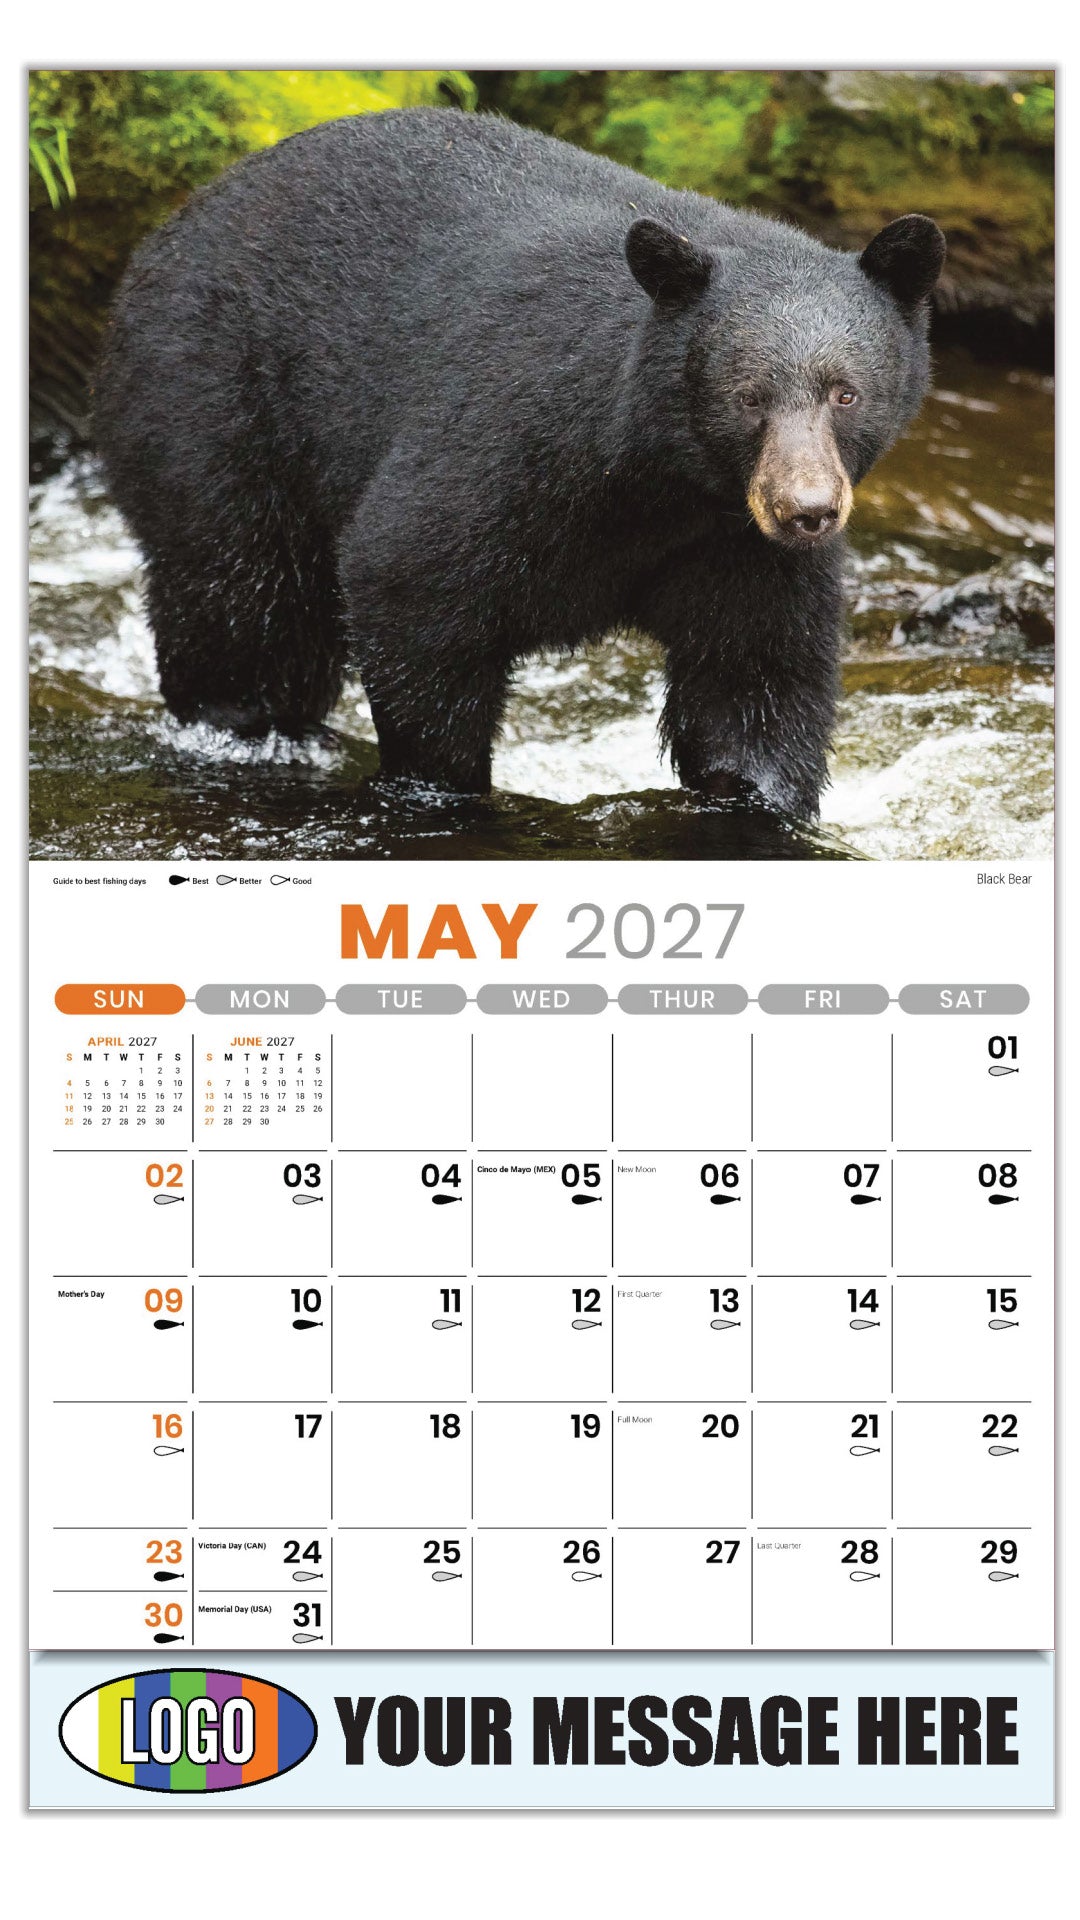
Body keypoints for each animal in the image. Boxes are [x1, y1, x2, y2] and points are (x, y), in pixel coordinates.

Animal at [96, 107, 945, 820]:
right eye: (748, 397)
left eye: (845, 392)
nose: (807, 510)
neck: (659, 481)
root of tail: (174, 223)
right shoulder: (507, 442)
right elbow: (409, 577)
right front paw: (443, 783)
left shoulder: (734, 547)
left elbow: (753, 676)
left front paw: (760, 795)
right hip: (217, 405)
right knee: (244, 597)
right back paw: (252, 725)